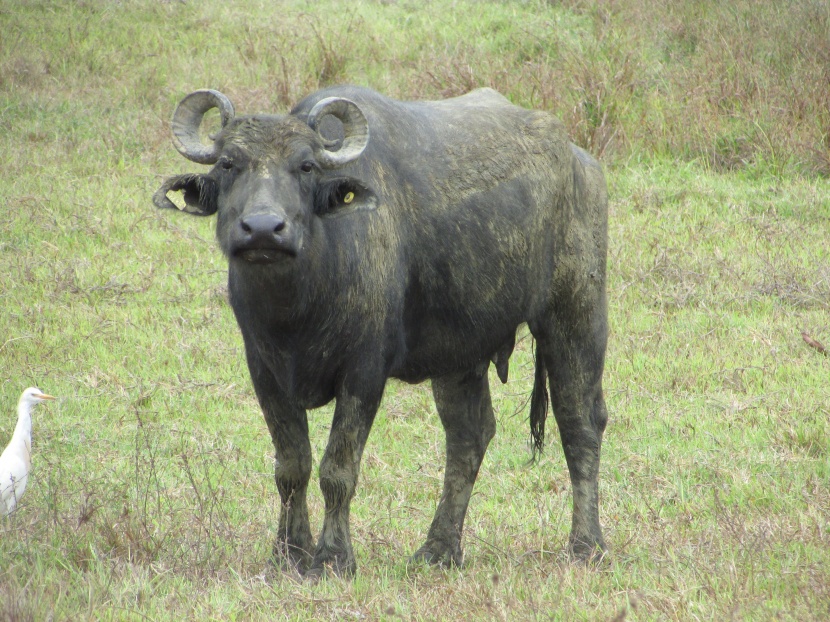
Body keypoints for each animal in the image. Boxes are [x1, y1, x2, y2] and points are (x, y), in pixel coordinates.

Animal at [154, 85, 612, 576]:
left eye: (306, 166)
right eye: (228, 164)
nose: (263, 229)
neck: (298, 305)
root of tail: (580, 161)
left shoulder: (363, 371)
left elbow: (337, 470)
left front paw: (333, 559)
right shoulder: (265, 371)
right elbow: (291, 467)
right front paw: (289, 553)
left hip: (576, 315)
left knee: (580, 423)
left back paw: (586, 545)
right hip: (459, 353)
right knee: (469, 435)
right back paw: (439, 549)